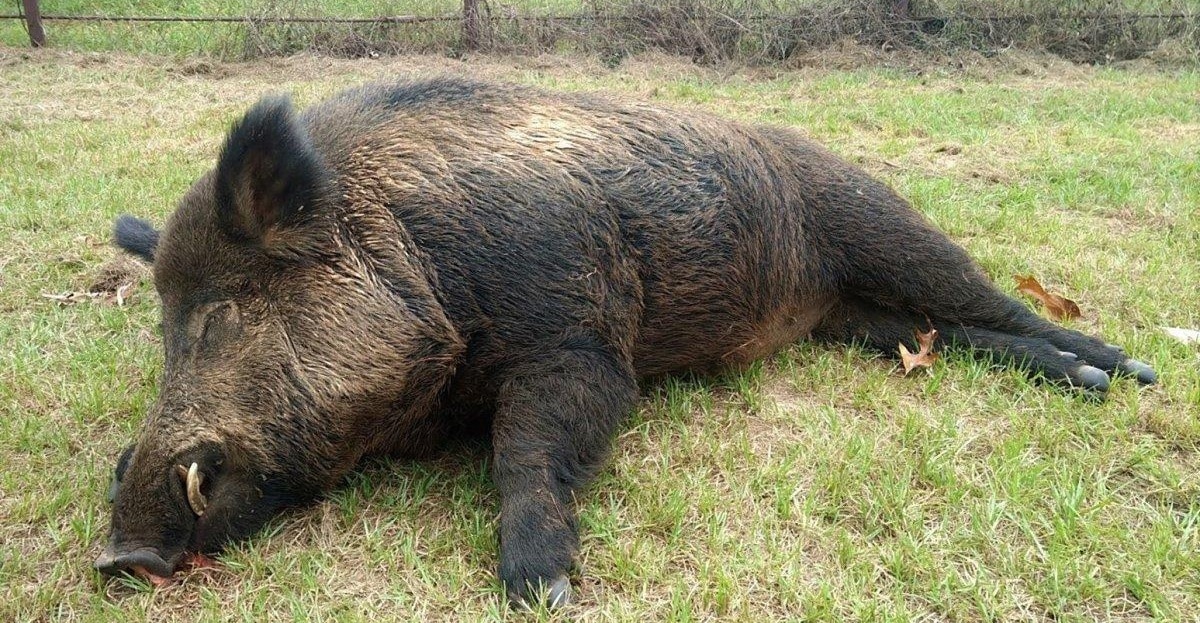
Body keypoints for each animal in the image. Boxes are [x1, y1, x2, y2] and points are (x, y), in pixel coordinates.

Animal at [97, 76, 1155, 607]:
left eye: (219, 314)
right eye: (161, 330)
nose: (119, 556)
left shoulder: (580, 335)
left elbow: (533, 440)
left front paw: (543, 587)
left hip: (880, 221)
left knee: (996, 305)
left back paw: (1124, 370)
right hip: (857, 316)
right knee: (944, 331)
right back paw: (1089, 378)